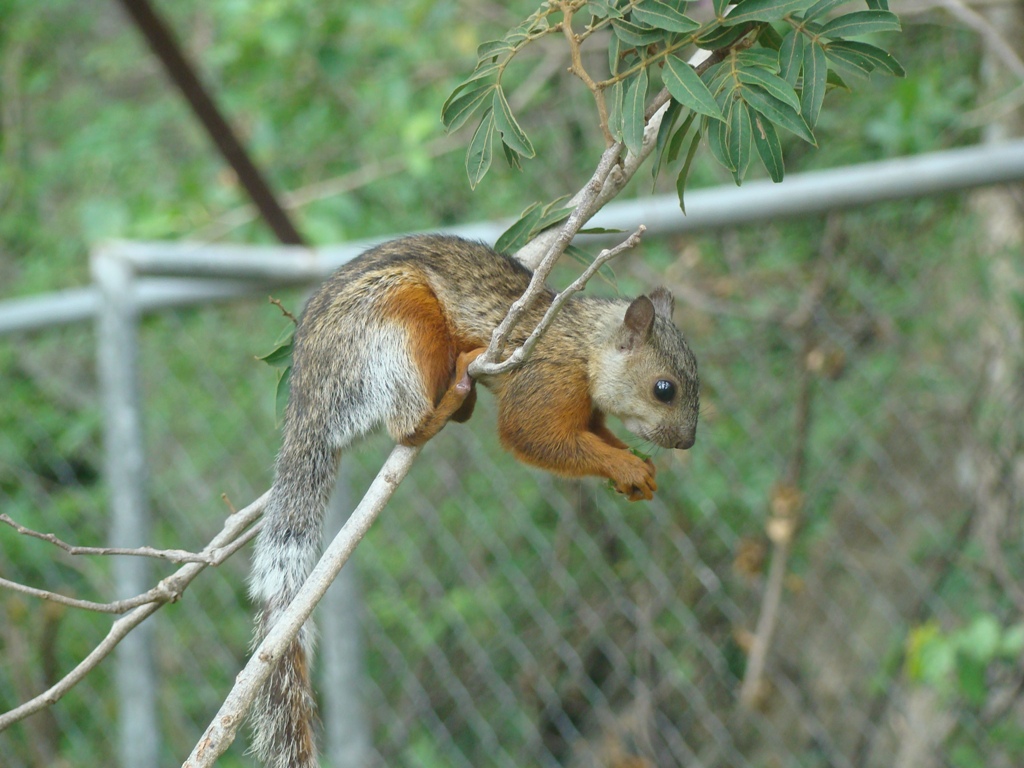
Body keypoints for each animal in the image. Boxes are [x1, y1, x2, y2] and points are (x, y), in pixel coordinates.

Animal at [245, 234, 704, 768]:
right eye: (664, 389)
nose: (688, 443)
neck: (584, 344)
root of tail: (307, 400)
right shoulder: (544, 378)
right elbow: (530, 434)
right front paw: (626, 467)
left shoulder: (587, 409)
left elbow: (596, 434)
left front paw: (635, 467)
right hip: (395, 326)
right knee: (408, 426)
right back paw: (455, 389)